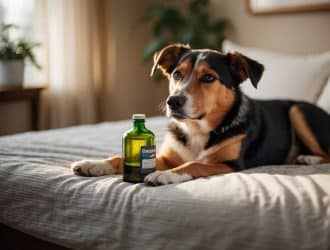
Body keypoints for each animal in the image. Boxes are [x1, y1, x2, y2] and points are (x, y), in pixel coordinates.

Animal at [72, 43, 330, 185]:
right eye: (177, 74)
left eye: (208, 77)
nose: (173, 101)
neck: (197, 129)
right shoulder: (168, 156)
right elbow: (121, 158)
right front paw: (95, 164)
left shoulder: (230, 164)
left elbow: (195, 164)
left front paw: (165, 176)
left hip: (298, 110)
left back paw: (308, 158)